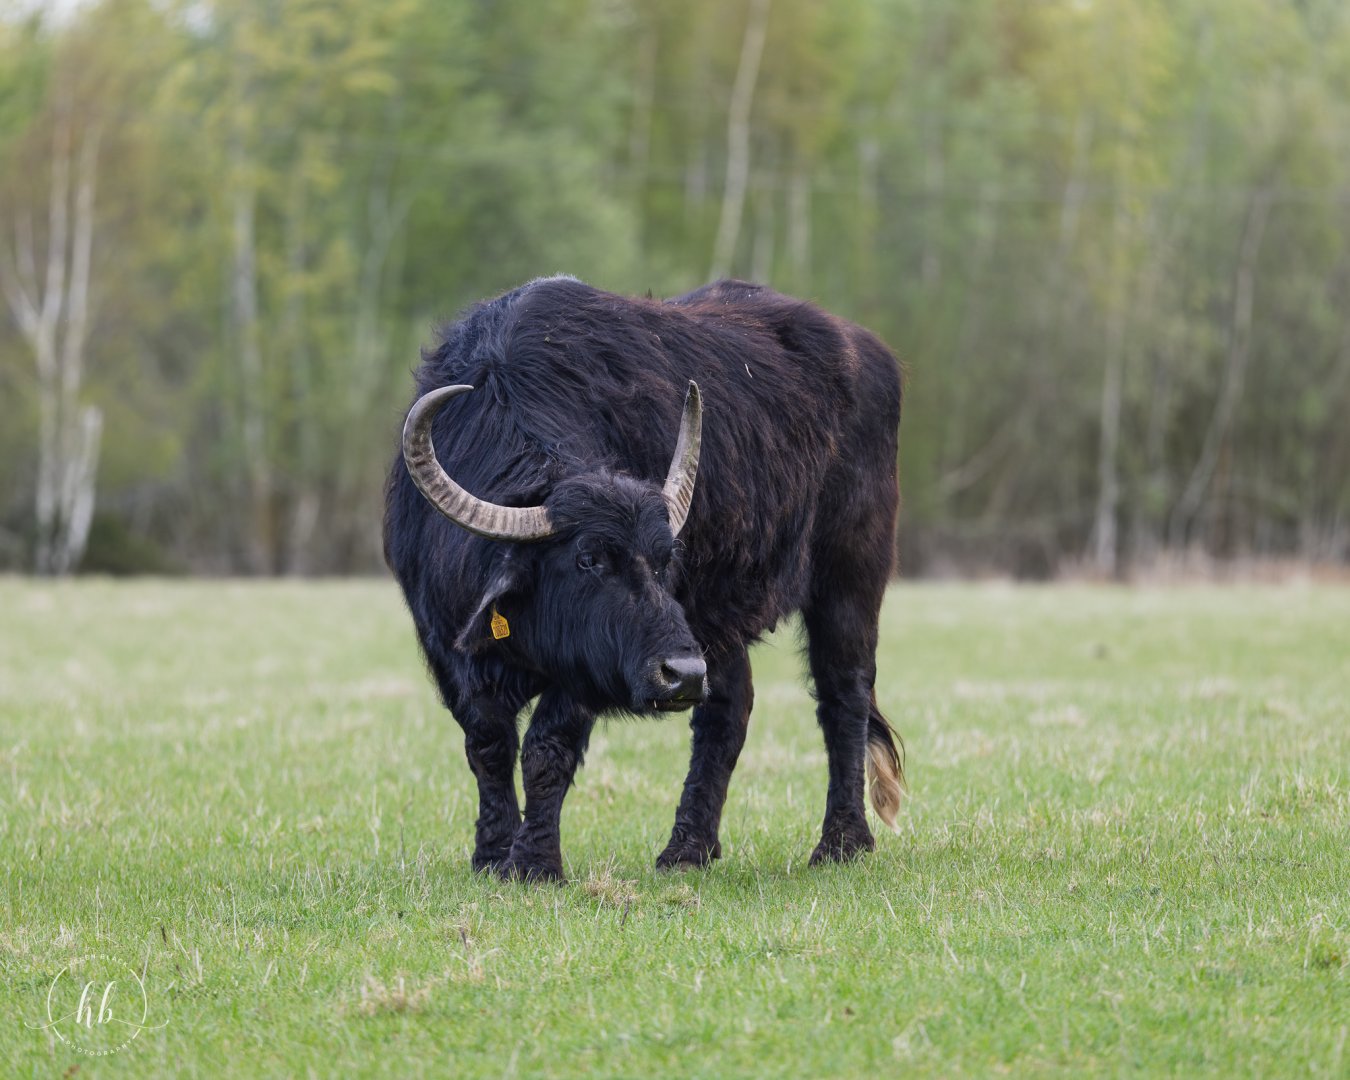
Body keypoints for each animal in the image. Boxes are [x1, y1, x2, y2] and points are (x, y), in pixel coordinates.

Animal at [384, 276, 904, 881]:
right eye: (588, 559)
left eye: (663, 560)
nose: (681, 675)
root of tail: (869, 351)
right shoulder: (446, 649)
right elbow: (488, 747)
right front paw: (492, 855)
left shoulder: (586, 665)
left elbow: (545, 749)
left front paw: (535, 863)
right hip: (713, 626)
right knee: (727, 710)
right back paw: (687, 849)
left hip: (849, 577)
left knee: (844, 694)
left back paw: (842, 842)